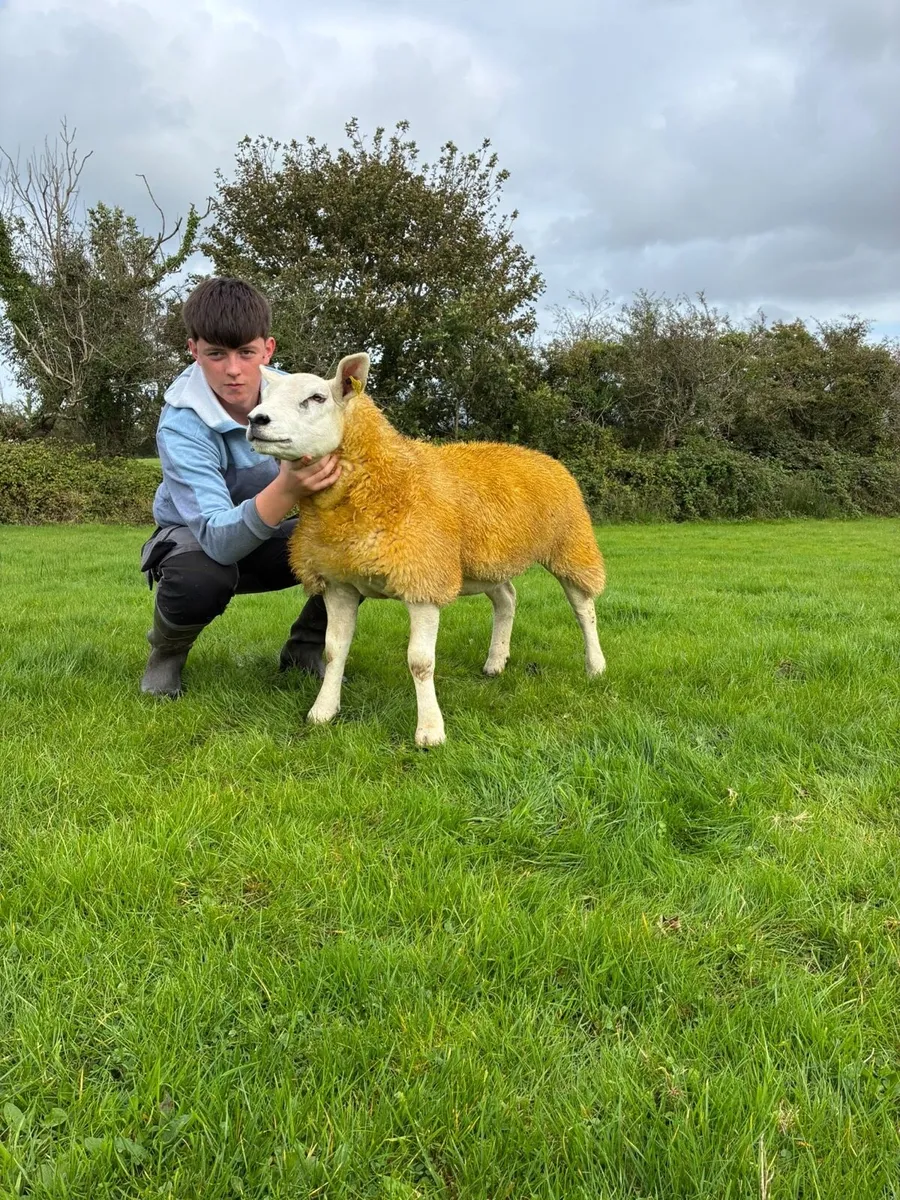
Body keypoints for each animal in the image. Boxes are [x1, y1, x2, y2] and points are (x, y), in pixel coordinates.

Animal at [248, 353, 606, 746]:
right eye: (267, 394)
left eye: (316, 398)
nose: (256, 420)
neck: (386, 480)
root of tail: (544, 457)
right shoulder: (338, 581)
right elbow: (333, 651)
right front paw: (323, 712)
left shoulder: (423, 579)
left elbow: (420, 662)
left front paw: (430, 732)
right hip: (486, 558)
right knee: (507, 599)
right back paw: (495, 662)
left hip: (570, 545)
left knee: (583, 609)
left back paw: (595, 666)